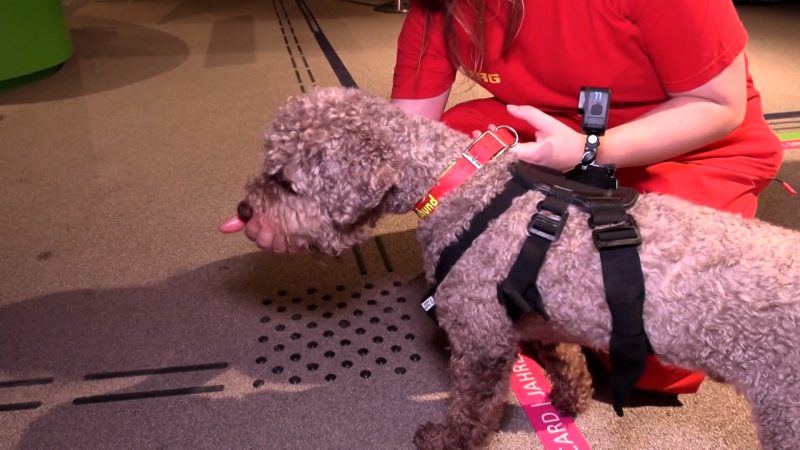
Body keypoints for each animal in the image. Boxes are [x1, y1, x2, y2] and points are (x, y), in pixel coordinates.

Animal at [227, 86, 800, 448]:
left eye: (286, 182)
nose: (245, 211)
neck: (459, 187)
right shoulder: (536, 315)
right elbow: (565, 359)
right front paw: (570, 400)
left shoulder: (480, 334)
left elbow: (472, 406)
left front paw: (449, 440)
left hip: (785, 410)